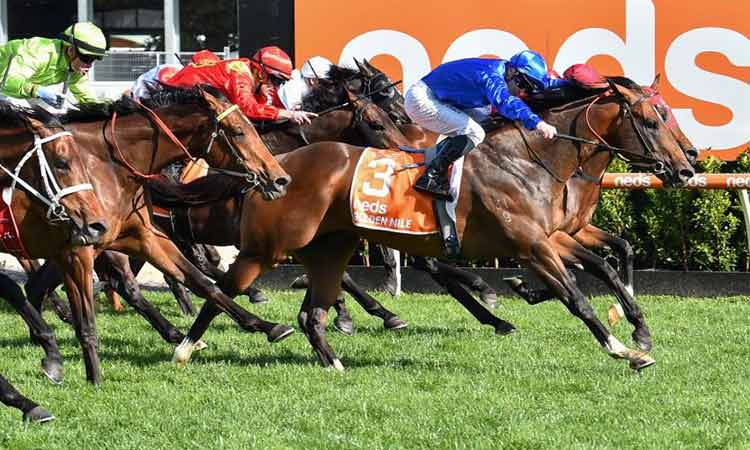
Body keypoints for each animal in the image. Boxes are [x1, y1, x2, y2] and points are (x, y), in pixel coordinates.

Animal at [17, 87, 294, 384]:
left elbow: (202, 282)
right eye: (239, 131)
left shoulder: (143, 235)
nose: (280, 179)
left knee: (42, 285)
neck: (107, 164)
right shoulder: (81, 245)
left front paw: (268, 325)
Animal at [176, 79, 700, 370]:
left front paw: (638, 330)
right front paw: (623, 349)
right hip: (266, 247)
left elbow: (605, 266)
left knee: (312, 311)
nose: (687, 165)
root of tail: (276, 167)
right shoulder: (534, 244)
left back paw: (336, 359)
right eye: (651, 120)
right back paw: (188, 345)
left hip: (330, 247)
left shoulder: (554, 235)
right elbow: (576, 296)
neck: (528, 160)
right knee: (219, 284)